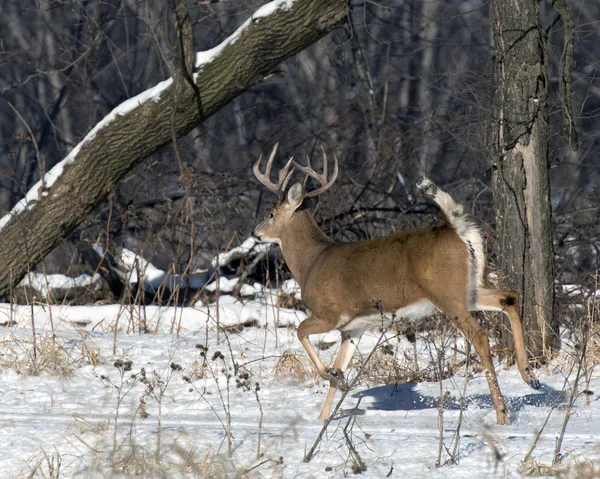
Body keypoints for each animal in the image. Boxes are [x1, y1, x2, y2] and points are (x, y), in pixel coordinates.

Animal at [251, 144, 540, 426]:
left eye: (271, 213)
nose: (255, 233)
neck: (311, 263)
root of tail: (456, 228)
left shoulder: (329, 313)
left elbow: (300, 331)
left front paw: (330, 377)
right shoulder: (352, 329)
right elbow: (340, 366)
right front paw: (325, 413)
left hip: (447, 295)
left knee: (480, 335)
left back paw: (502, 412)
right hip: (469, 289)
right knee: (509, 296)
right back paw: (530, 377)